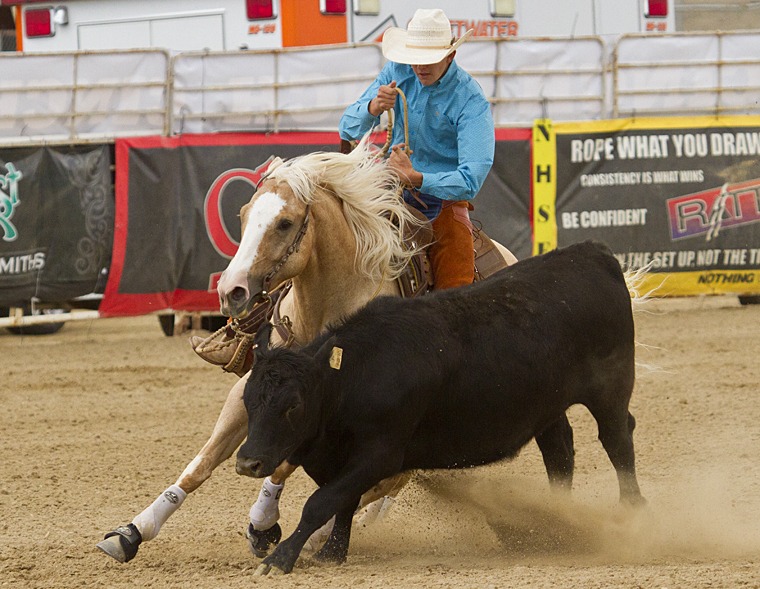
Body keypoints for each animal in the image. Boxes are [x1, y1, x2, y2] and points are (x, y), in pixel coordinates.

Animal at [97, 137, 522, 563]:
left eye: (285, 223)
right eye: (243, 215)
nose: (231, 290)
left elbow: (282, 466)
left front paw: (264, 525)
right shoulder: (250, 390)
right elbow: (201, 463)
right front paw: (132, 531)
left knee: (385, 481)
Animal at [236, 240, 646, 575]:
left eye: (293, 406)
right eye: (248, 400)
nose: (248, 462)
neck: (354, 375)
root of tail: (593, 253)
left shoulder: (380, 455)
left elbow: (322, 502)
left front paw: (280, 558)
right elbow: (343, 503)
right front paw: (332, 553)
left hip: (610, 388)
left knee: (616, 441)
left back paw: (631, 513)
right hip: (548, 404)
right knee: (559, 450)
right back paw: (559, 521)